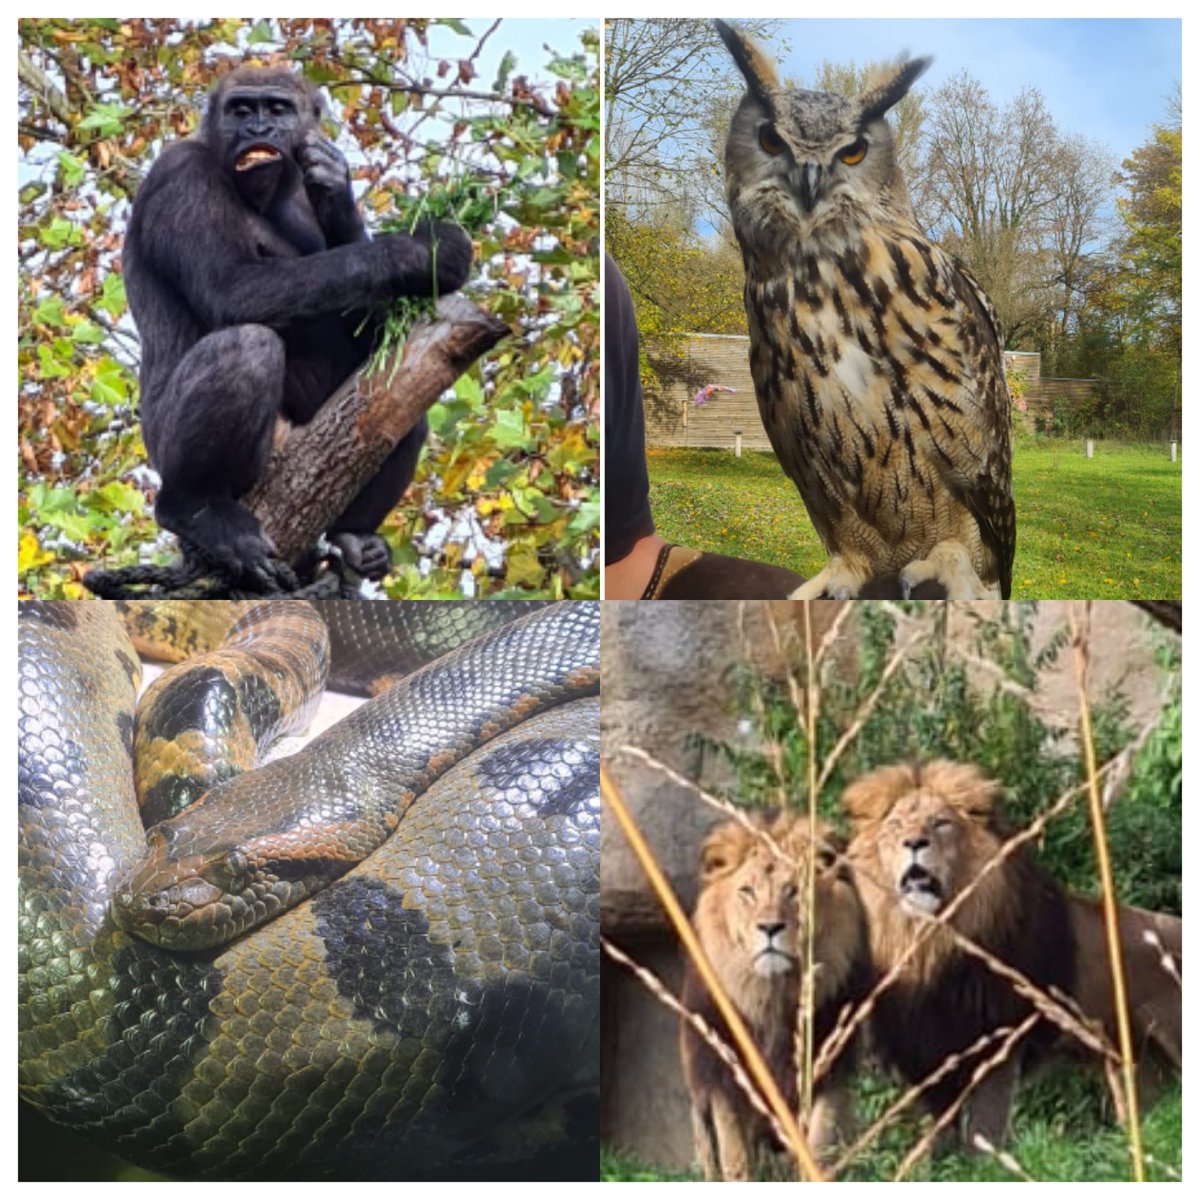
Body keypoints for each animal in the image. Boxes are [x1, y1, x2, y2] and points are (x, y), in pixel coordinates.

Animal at [123, 64, 472, 580]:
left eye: (278, 109)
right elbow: (231, 289)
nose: (258, 129)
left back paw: (354, 535)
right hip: (171, 458)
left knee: (400, 404)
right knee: (247, 347)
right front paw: (422, 250)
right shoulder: (179, 173)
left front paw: (338, 193)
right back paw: (196, 507)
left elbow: (375, 337)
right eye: (240, 110)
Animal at [681, 811, 868, 1176]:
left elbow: (817, 1149)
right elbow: (735, 1159)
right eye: (747, 892)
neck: (771, 997)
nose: (770, 927)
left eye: (793, 891)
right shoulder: (722, 1079)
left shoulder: (827, 1074)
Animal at [844, 763, 1180, 1147]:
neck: (930, 942)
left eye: (941, 823)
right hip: (1134, 1061)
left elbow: (983, 1130)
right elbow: (939, 1132)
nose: (914, 842)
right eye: (895, 826)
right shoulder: (927, 1048)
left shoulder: (1000, 1042)